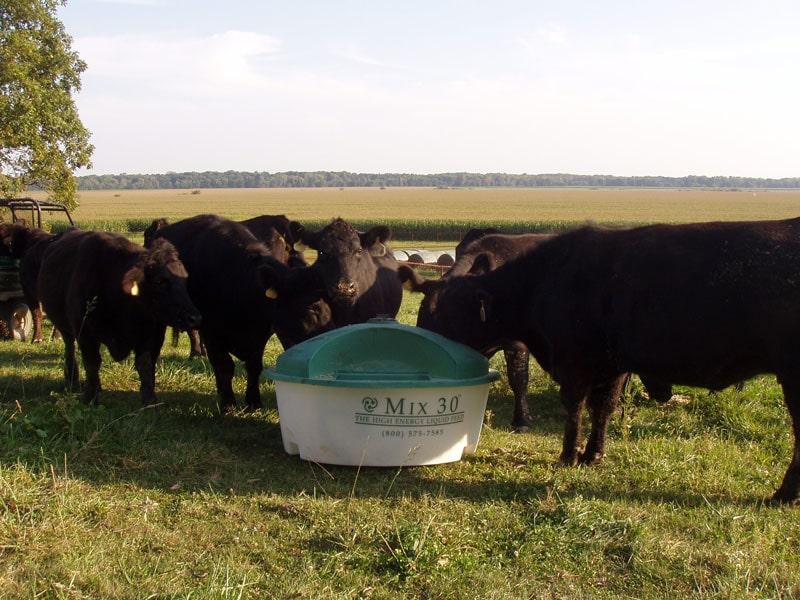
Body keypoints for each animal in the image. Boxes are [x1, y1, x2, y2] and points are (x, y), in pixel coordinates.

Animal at [37, 230, 201, 404]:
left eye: (184, 281)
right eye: (160, 281)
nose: (194, 317)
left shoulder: (151, 334)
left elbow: (145, 364)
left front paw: (149, 399)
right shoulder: (86, 333)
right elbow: (92, 363)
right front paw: (90, 397)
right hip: (64, 328)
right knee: (70, 349)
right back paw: (72, 380)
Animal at [148, 214, 332, 412]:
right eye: (312, 308)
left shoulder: (260, 333)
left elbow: (254, 366)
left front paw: (254, 402)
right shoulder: (211, 332)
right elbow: (224, 366)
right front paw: (228, 404)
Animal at [400, 218, 800, 503]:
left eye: (447, 316)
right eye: (423, 311)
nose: (424, 347)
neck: (543, 279)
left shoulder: (575, 360)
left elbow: (575, 407)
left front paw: (568, 455)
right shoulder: (614, 363)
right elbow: (602, 408)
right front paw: (593, 454)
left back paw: (783, 495)